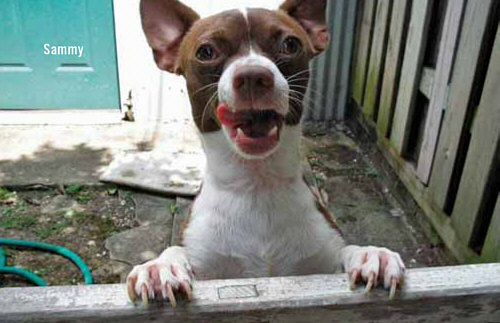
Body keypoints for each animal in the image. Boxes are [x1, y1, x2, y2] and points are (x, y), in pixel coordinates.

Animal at [128, 0, 406, 306]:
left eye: (290, 44)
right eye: (206, 52)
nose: (252, 75)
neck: (256, 184)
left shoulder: (323, 262)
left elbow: (347, 250)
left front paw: (370, 254)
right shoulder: (209, 269)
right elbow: (177, 252)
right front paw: (160, 266)